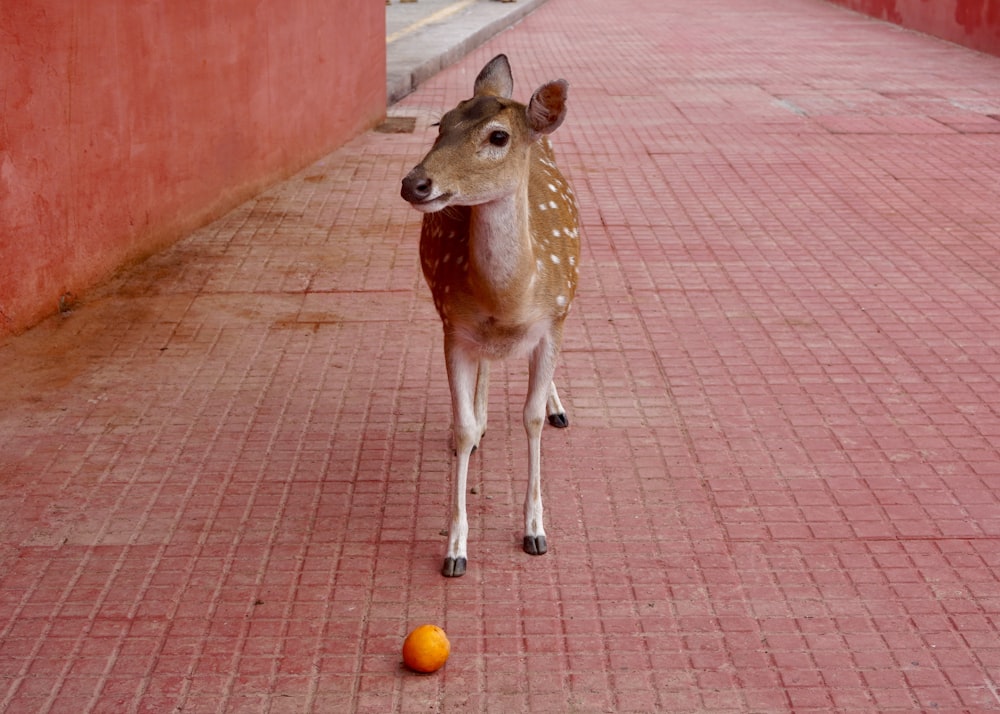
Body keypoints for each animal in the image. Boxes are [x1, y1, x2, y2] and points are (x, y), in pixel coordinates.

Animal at [402, 52, 584, 576]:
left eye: (498, 137)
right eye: (440, 124)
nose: (414, 183)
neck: (510, 302)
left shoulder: (553, 322)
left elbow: (531, 419)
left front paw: (535, 531)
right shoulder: (452, 326)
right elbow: (462, 427)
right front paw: (455, 549)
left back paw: (558, 405)